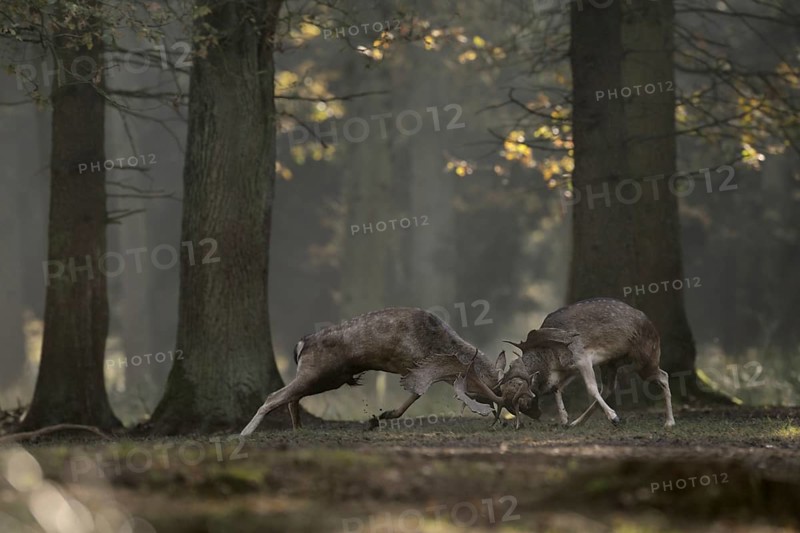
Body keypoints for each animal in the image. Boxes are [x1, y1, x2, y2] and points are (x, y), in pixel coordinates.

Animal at [240, 307, 532, 435]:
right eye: (495, 392)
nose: (511, 418)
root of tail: (301, 344)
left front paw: (381, 416)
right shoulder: (414, 365)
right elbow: (417, 394)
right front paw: (383, 415)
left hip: (328, 378)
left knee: (292, 397)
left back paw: (298, 428)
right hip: (317, 373)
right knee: (275, 396)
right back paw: (245, 434)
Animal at [477, 298, 675, 429]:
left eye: (521, 398)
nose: (533, 413)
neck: (550, 358)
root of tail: (652, 325)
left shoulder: (582, 357)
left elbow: (591, 388)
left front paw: (613, 416)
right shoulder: (568, 369)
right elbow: (556, 388)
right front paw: (564, 419)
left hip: (645, 357)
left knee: (663, 375)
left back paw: (668, 422)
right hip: (610, 363)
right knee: (609, 387)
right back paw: (577, 422)